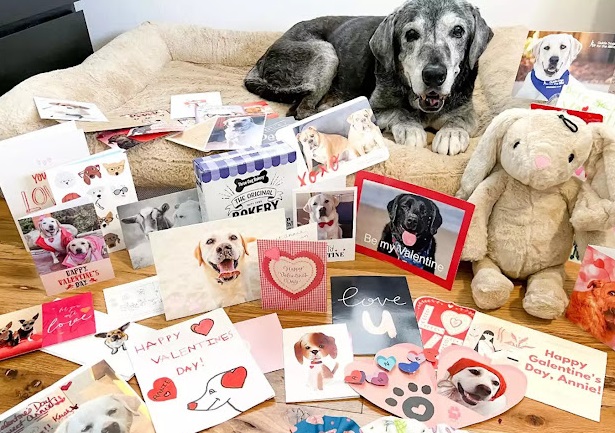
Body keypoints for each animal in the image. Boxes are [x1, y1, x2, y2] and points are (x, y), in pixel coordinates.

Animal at [245, 0, 492, 156]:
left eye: (458, 31)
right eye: (411, 34)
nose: (434, 75)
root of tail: (263, 57)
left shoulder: (468, 112)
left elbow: (458, 120)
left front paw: (451, 134)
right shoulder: (376, 108)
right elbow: (399, 112)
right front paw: (411, 129)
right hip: (326, 53)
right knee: (300, 110)